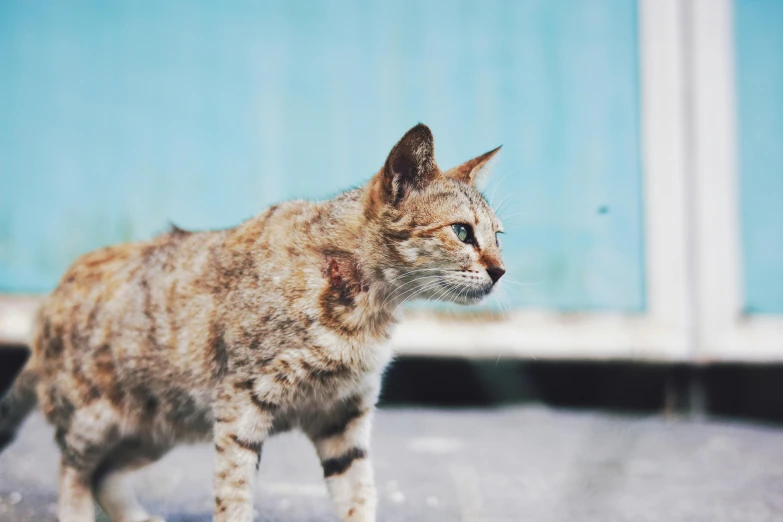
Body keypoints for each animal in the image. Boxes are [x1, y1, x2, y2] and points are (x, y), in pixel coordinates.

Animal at [0, 123, 502, 520]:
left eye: (499, 237)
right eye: (462, 231)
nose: (500, 270)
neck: (366, 307)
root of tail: (46, 304)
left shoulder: (344, 417)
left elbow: (358, 494)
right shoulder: (241, 403)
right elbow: (234, 493)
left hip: (159, 426)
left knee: (105, 475)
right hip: (94, 418)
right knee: (74, 470)